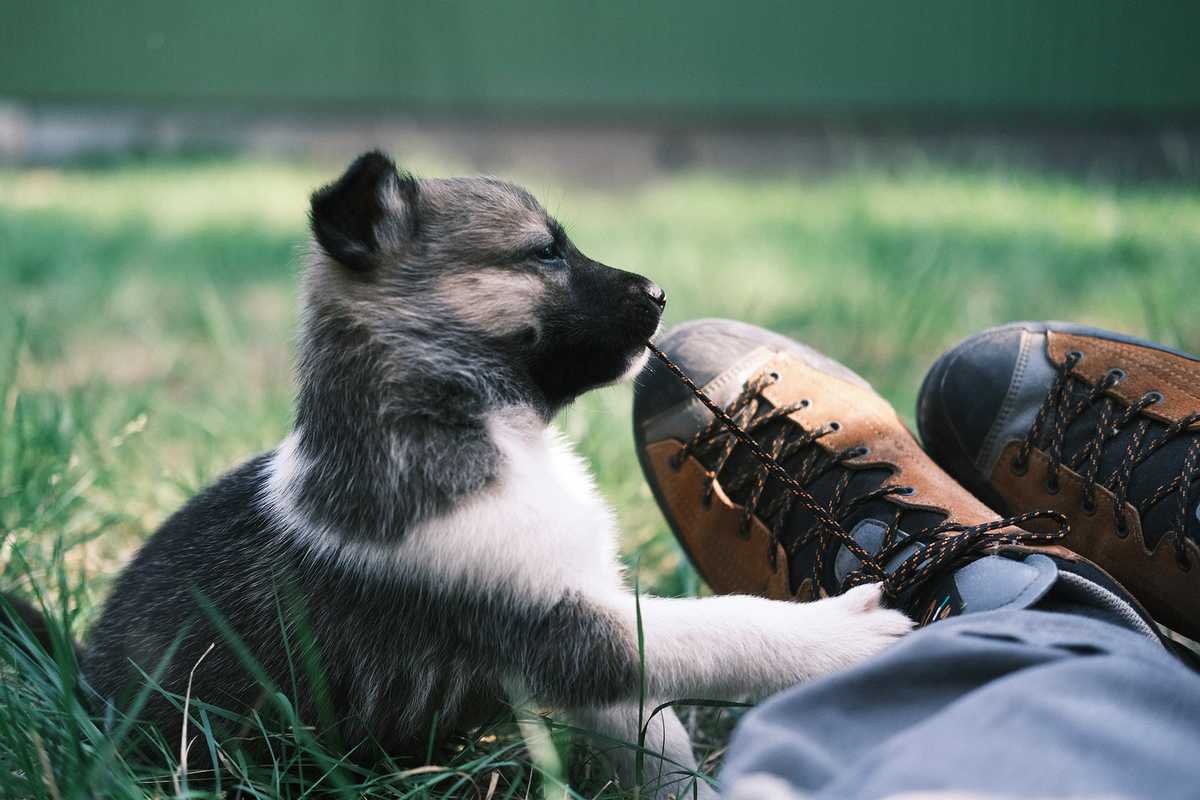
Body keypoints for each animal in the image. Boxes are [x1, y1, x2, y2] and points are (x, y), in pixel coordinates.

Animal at [77, 153, 907, 796]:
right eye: (544, 253)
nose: (661, 293)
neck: (486, 426)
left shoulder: (584, 606)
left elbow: (656, 739)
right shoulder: (566, 630)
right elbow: (722, 629)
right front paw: (843, 636)